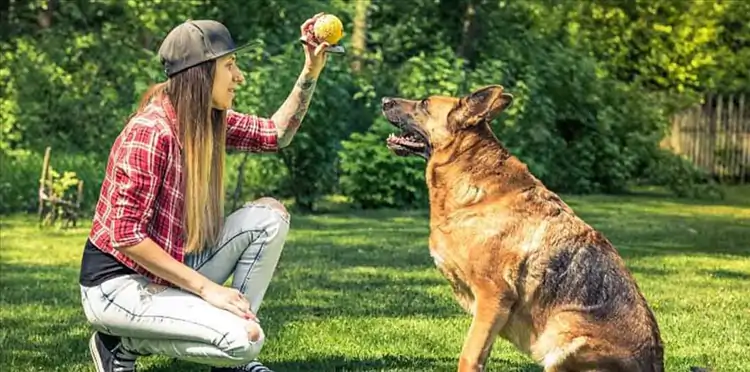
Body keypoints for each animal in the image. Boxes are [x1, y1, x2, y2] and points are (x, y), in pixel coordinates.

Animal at [382, 85, 664, 372]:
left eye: (424, 103)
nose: (384, 100)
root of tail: (654, 364)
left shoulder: (492, 298)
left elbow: (469, 356)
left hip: (561, 335)